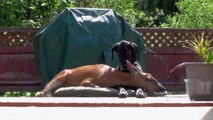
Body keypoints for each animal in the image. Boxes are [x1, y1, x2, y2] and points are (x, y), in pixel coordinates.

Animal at [35, 60, 166, 97]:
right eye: (148, 78)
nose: (163, 88)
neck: (111, 77)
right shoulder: (87, 80)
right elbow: (89, 84)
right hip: (60, 77)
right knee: (47, 87)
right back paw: (39, 93)